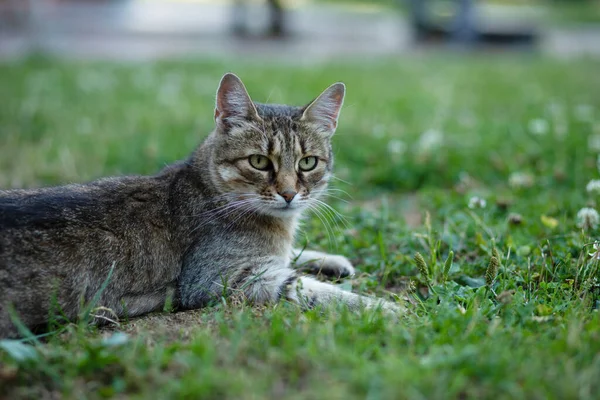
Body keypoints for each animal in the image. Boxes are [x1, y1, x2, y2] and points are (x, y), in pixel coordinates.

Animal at [0, 72, 398, 338]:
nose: (288, 194)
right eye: (259, 162)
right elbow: (302, 285)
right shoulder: (219, 277)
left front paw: (332, 260)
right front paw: (382, 307)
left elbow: (293, 256)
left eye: (307, 163)